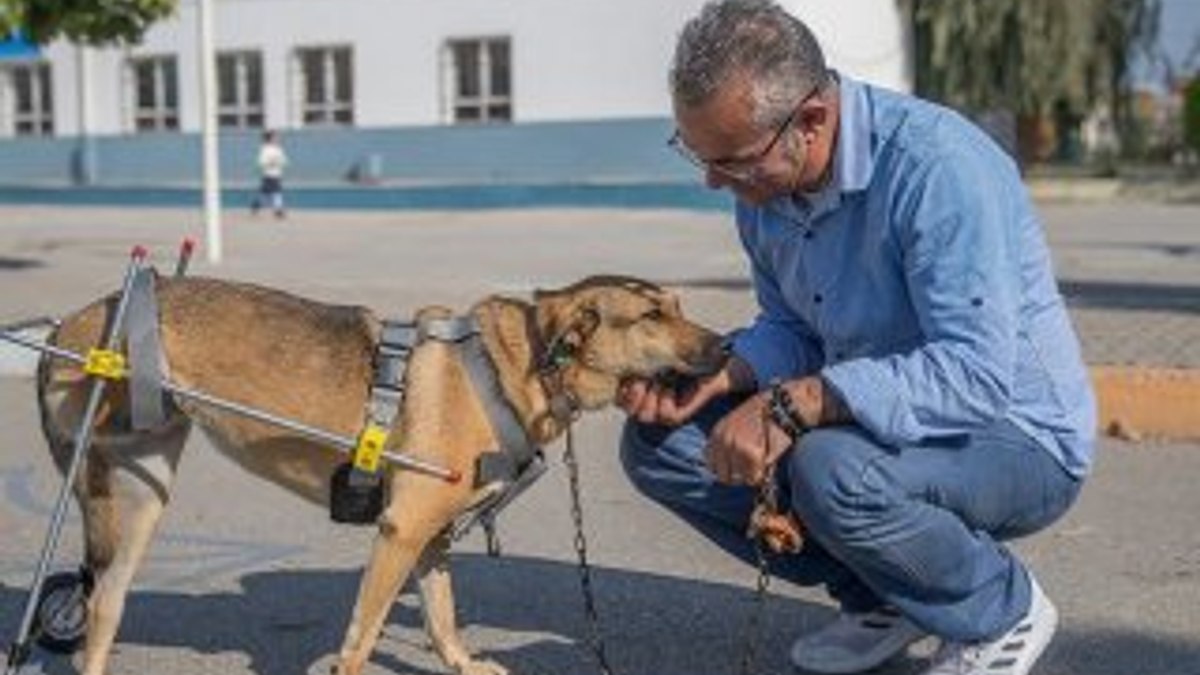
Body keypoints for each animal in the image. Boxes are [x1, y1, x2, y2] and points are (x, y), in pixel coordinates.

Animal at [37, 273, 724, 672]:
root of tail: (75, 318)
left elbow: (443, 617)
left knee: (104, 603)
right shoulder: (402, 530)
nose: (727, 348)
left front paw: (462, 662)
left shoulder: (431, 538)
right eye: (650, 318)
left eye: (679, 307)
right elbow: (362, 637)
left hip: (141, 500)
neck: (513, 368)